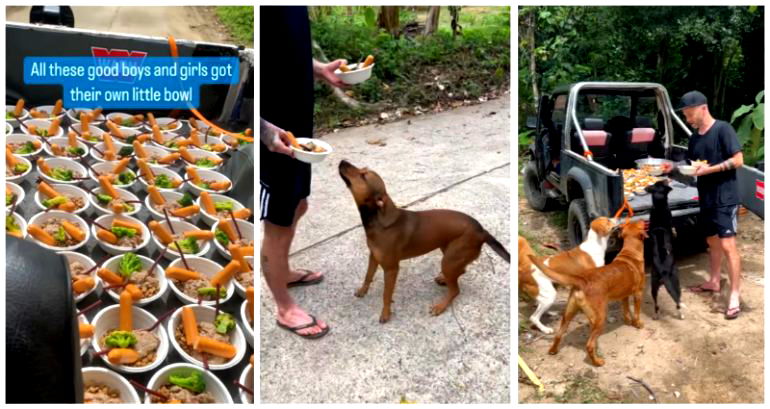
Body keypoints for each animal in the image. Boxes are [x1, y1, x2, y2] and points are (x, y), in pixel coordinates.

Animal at [338, 159, 510, 322]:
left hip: (449, 259)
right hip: (449, 253)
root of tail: (482, 231)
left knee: (455, 290)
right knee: (461, 271)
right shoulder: (373, 257)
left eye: (363, 175)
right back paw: (443, 279)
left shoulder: (391, 269)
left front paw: (385, 314)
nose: (342, 161)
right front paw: (363, 291)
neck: (378, 219)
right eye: (362, 170)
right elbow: (368, 276)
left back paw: (440, 306)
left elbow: (386, 295)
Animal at [524, 220, 644, 366]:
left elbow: (626, 310)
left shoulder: (624, 295)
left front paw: (627, 320)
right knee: (588, 344)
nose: (620, 222)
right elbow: (636, 313)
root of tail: (581, 281)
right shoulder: (638, 293)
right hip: (593, 316)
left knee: (558, 333)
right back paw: (597, 361)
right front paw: (637, 324)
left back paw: (553, 347)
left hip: (567, 312)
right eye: (608, 220)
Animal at [644, 181, 680, 318]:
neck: (659, 207)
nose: (666, 178)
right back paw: (680, 313)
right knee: (678, 300)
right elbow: (673, 229)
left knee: (656, 304)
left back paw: (656, 315)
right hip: (675, 280)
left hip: (653, 286)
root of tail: (664, 272)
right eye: (662, 183)